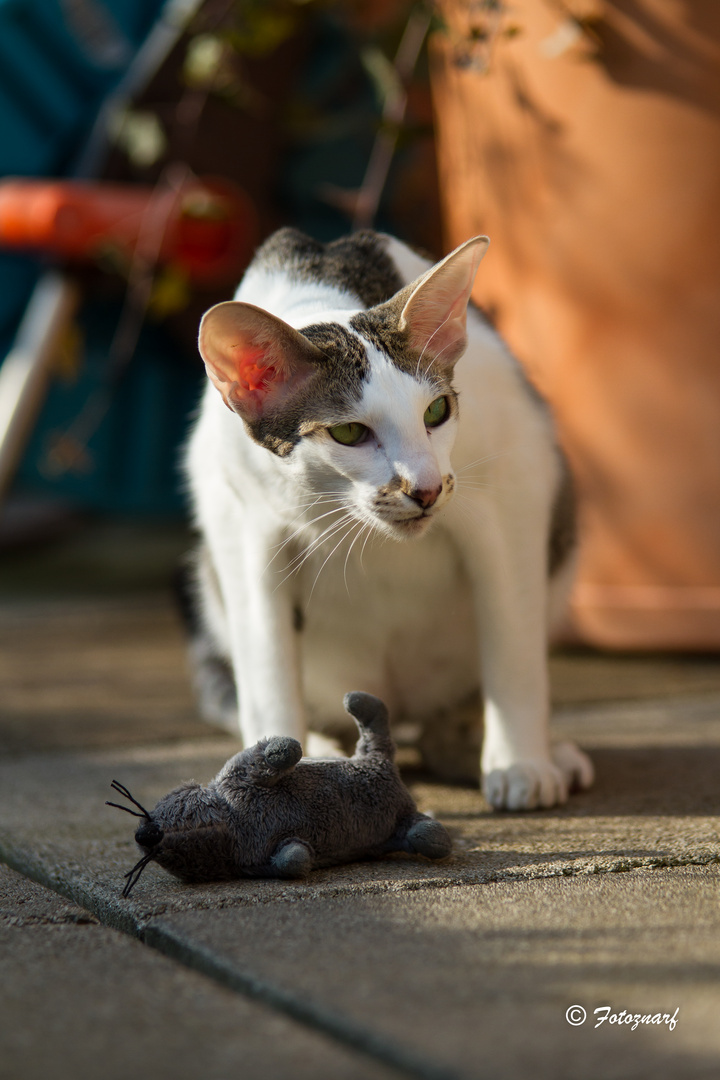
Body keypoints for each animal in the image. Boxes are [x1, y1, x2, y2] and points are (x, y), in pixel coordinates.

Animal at [183, 227, 595, 812]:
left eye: (437, 412)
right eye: (349, 433)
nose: (424, 489)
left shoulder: (516, 481)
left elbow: (513, 648)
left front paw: (523, 764)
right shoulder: (240, 520)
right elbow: (266, 664)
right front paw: (271, 775)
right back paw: (320, 754)